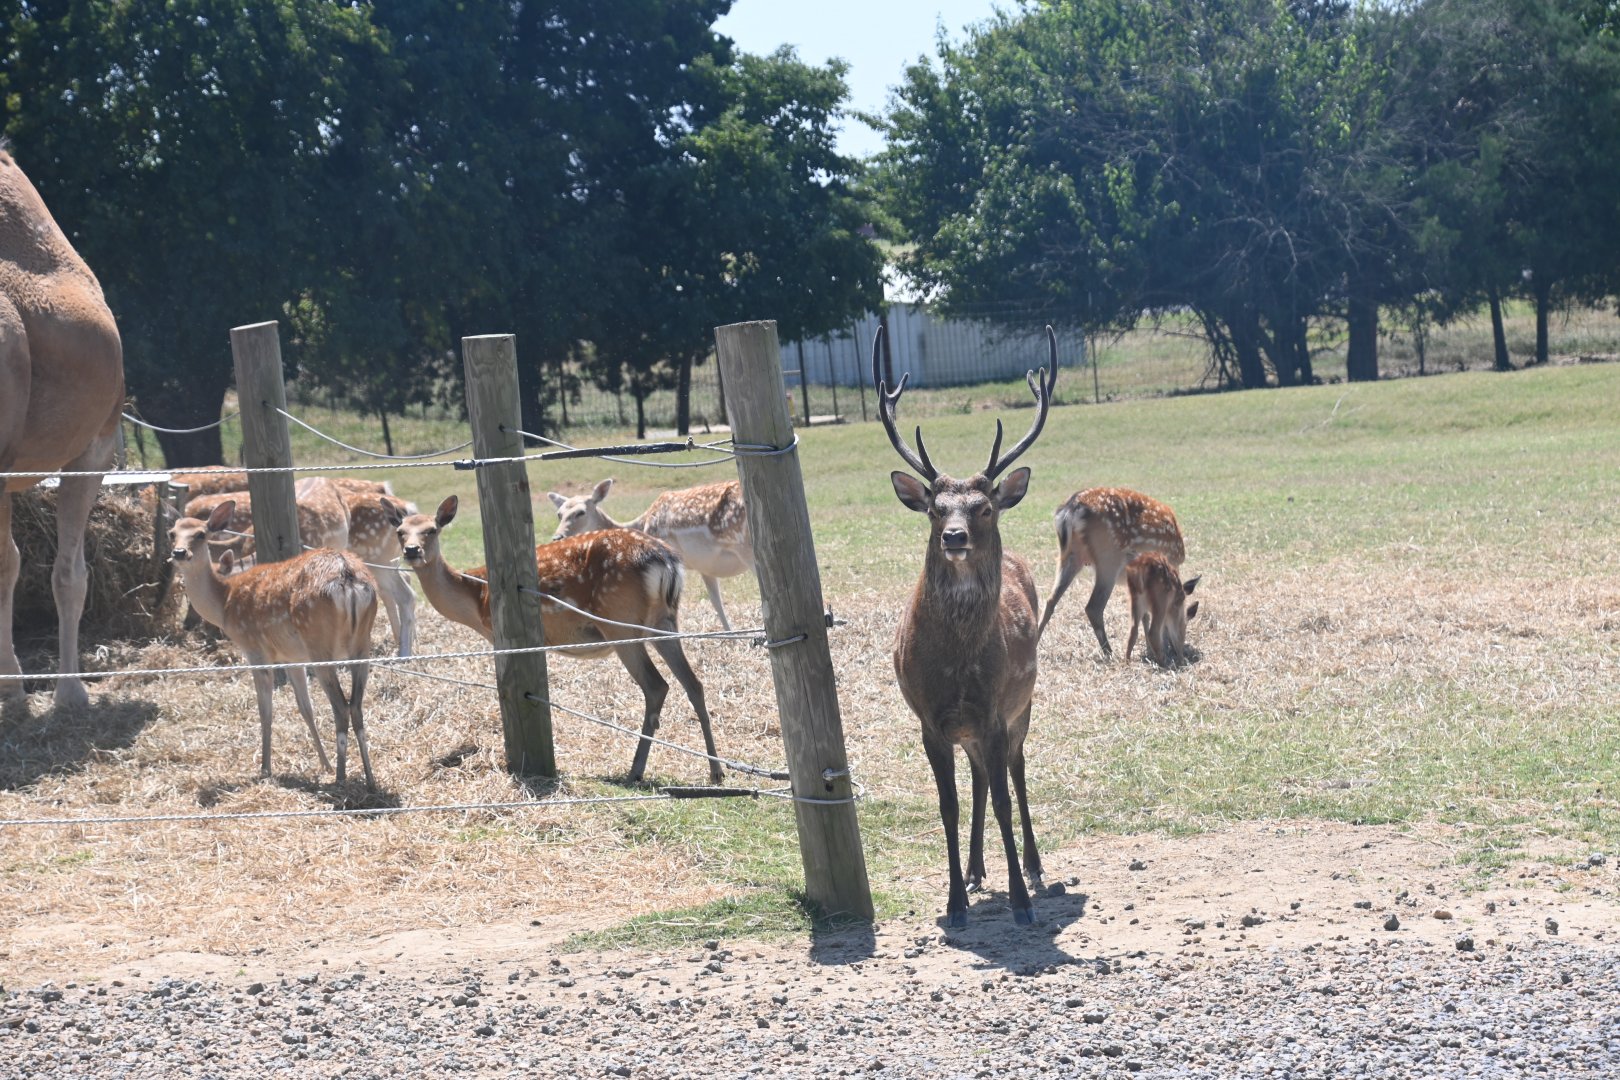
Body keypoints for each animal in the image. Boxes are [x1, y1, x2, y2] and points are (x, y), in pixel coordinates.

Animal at [169, 501, 381, 790]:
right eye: (172, 533)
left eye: (201, 534)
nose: (179, 552)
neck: (224, 603)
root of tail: (346, 575)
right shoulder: (292, 656)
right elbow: (305, 708)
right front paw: (323, 764)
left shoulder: (255, 649)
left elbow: (265, 711)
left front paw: (265, 768)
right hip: (361, 644)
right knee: (357, 706)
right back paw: (369, 778)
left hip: (319, 643)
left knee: (341, 707)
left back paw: (340, 777)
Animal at [381, 494, 722, 783]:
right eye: (400, 531)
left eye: (432, 529)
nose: (412, 551)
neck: (476, 599)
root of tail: (667, 561)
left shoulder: (501, 635)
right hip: (664, 620)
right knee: (694, 683)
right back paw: (716, 771)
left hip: (620, 621)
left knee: (656, 685)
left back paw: (634, 771)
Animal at [548, 478, 753, 631]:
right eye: (559, 514)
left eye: (580, 512)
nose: (557, 537)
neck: (642, 525)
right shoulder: (705, 566)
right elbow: (716, 601)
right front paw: (731, 635)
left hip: (746, 547)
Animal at [876, 324, 1056, 928]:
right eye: (936, 508)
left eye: (984, 507)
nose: (955, 536)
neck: (955, 665)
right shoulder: (931, 720)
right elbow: (949, 805)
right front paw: (954, 901)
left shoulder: (996, 710)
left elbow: (1002, 799)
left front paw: (1022, 904)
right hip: (969, 731)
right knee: (978, 779)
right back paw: (977, 871)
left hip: (1023, 705)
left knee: (1016, 774)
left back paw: (1034, 868)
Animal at [1038, 487, 1186, 660]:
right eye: (1183, 618)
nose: (1178, 650)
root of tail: (1071, 508)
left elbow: (1143, 613)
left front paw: (1150, 649)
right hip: (1108, 558)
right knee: (1093, 607)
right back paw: (1109, 652)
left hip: (1070, 556)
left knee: (1050, 600)